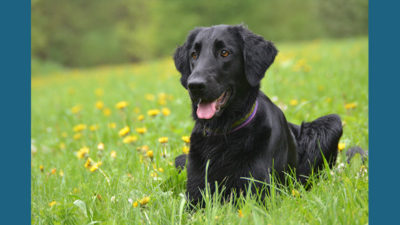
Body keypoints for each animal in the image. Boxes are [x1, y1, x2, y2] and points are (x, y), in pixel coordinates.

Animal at [173, 25, 342, 206]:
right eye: (194, 54)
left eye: (224, 52)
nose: (194, 85)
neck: (224, 132)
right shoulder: (195, 195)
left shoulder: (257, 195)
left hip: (332, 122)